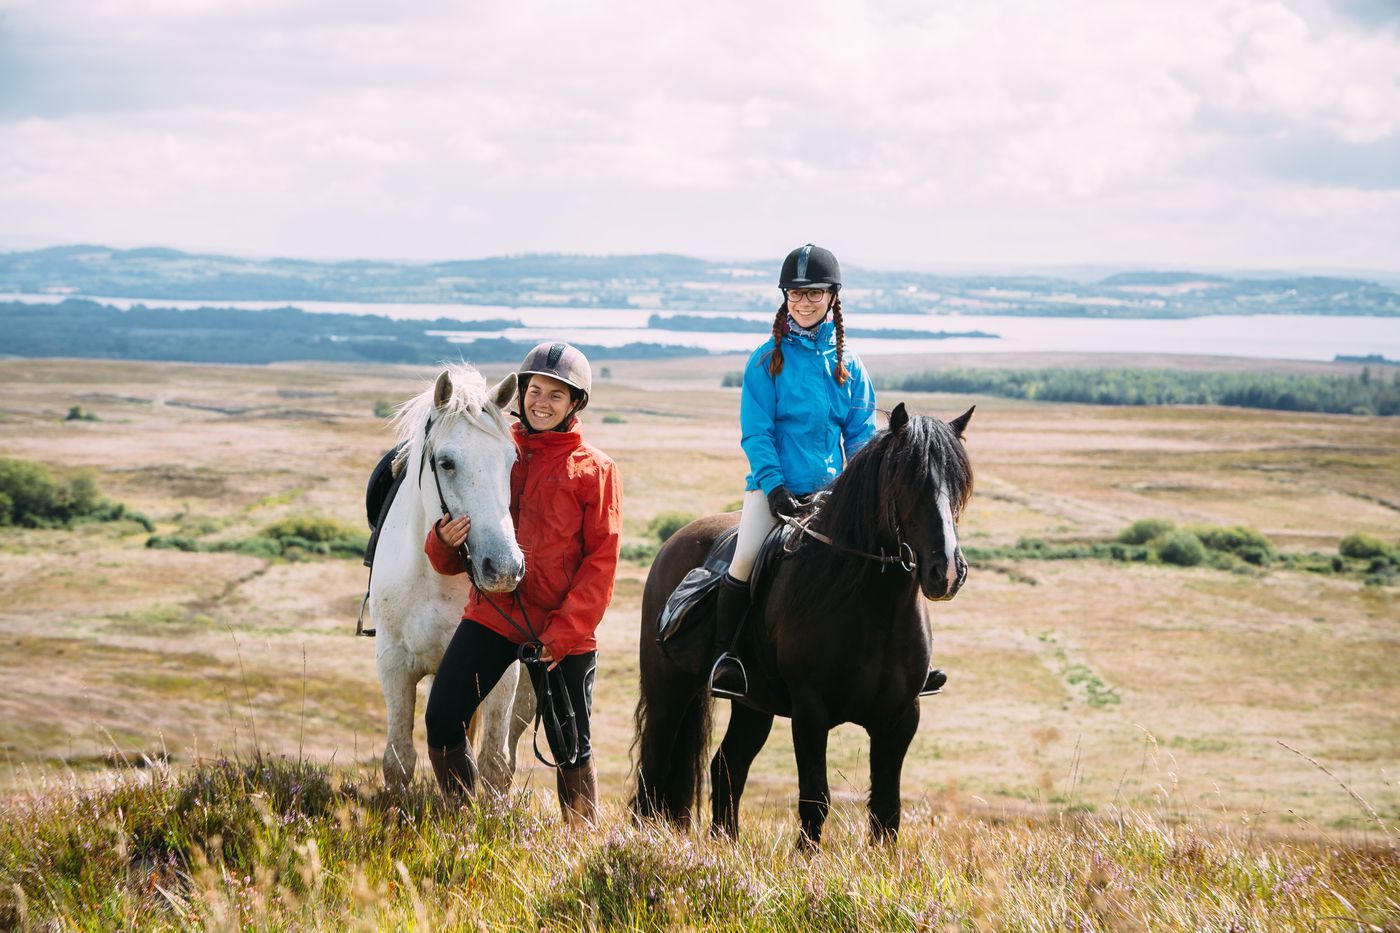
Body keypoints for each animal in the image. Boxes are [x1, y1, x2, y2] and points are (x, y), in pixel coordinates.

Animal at [372, 367, 534, 790]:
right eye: (446, 462)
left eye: (511, 460)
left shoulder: (502, 674)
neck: (437, 580)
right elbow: (399, 759)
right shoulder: (394, 665)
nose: (504, 568)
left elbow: (494, 762)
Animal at [635, 400, 974, 840]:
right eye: (907, 481)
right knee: (654, 766)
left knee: (727, 766)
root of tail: (672, 544)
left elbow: (887, 810)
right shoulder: (810, 712)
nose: (946, 572)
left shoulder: (900, 718)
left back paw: (726, 844)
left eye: (959, 485)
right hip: (668, 692)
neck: (872, 606)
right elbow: (816, 799)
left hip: (753, 705)